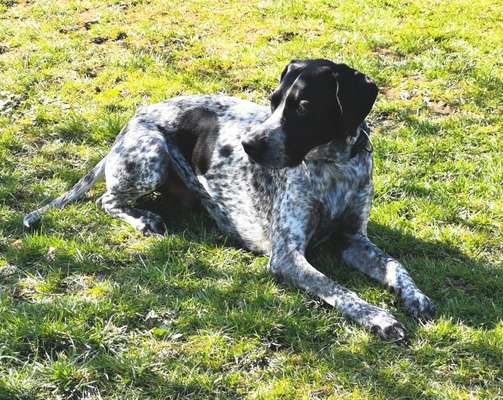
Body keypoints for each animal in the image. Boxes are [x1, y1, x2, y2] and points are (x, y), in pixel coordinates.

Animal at [23, 59, 436, 340]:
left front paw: (416, 297)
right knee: (106, 201)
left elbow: (397, 266)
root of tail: (132, 121)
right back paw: (143, 219)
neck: (333, 167)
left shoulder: (353, 240)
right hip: (149, 157)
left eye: (304, 107)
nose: (248, 145)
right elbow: (341, 290)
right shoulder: (287, 256)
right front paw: (378, 317)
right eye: (272, 101)